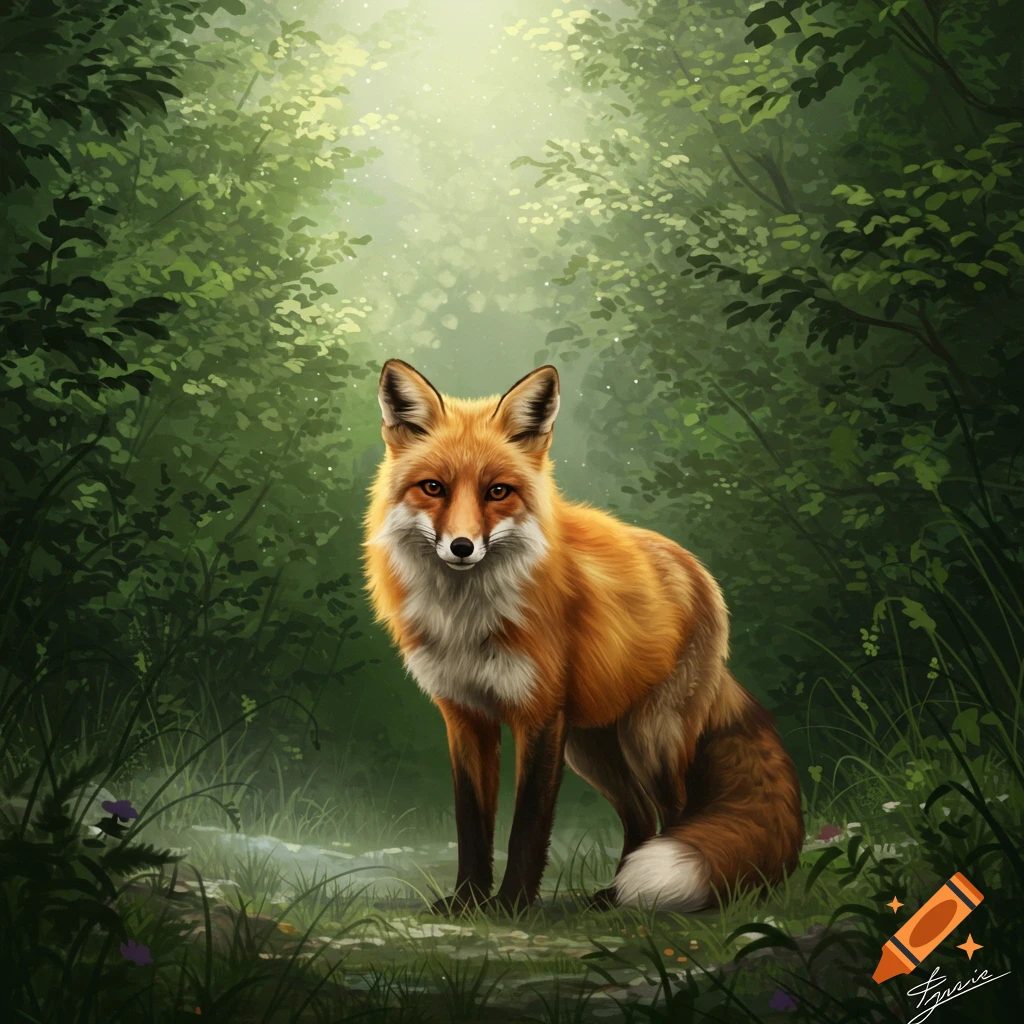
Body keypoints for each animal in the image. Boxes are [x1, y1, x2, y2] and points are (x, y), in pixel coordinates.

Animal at [363, 359, 804, 915]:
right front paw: (468, 901)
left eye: (498, 491)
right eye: (433, 487)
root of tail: (697, 571)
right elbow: (472, 824)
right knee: (640, 818)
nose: (462, 547)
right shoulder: (465, 715)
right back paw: (614, 897)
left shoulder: (539, 716)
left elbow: (527, 826)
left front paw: (512, 905)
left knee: (676, 814)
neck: (466, 619)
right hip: (592, 747)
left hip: (649, 739)